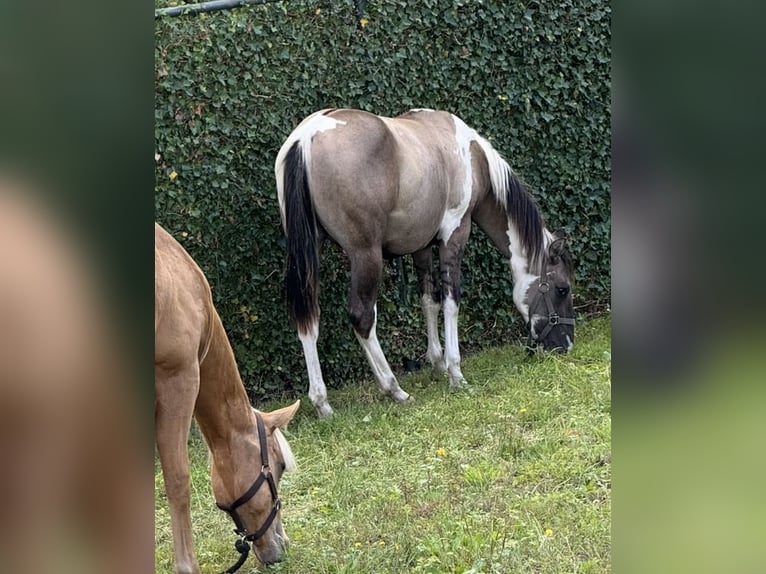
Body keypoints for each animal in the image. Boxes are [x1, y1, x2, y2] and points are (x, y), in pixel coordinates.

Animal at [275, 108, 575, 417]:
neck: (473, 157)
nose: (566, 345)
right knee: (362, 317)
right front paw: (455, 372)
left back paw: (322, 402)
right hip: (365, 255)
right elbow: (450, 303)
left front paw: (438, 363)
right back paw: (394, 389)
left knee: (308, 320)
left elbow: (429, 301)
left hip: (310, 255)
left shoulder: (421, 248)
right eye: (562, 289)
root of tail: (306, 137)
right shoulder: (454, 236)